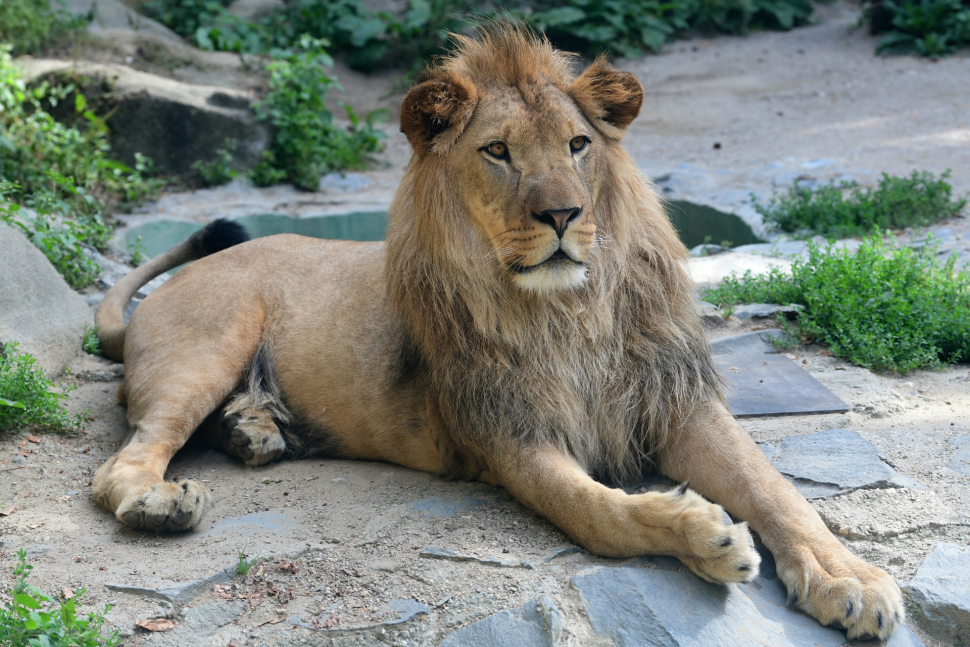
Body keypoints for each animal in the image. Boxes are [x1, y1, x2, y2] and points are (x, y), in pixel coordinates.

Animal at [94, 22, 904, 640]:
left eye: (578, 145)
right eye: (498, 151)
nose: (563, 214)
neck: (567, 312)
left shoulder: (675, 398)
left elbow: (776, 488)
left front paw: (850, 577)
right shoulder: (510, 435)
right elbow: (601, 513)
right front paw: (706, 534)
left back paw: (254, 432)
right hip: (211, 343)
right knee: (123, 464)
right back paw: (163, 503)